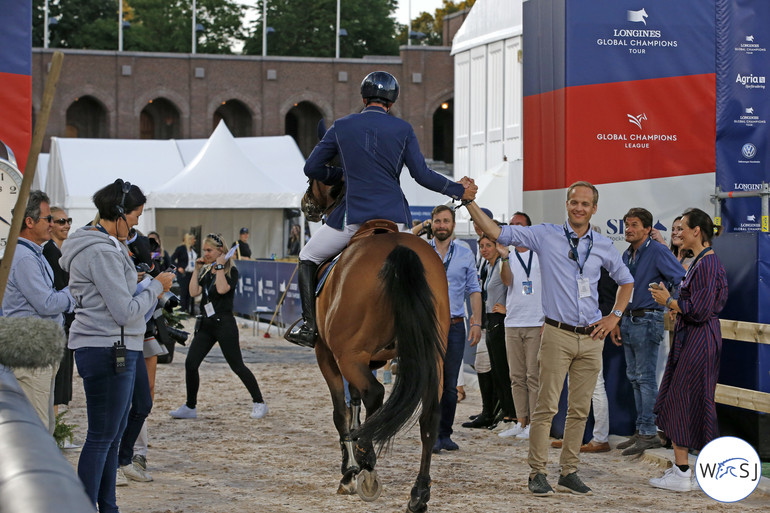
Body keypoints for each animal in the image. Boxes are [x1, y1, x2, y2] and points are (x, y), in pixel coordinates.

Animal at [296, 177, 448, 512]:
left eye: (314, 178)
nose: (306, 205)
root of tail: (398, 249)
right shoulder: (369, 361)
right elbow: (355, 403)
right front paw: (354, 464)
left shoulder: (329, 356)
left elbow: (342, 411)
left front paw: (350, 472)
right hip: (431, 359)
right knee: (430, 416)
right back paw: (419, 493)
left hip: (348, 356)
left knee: (375, 394)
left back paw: (367, 456)